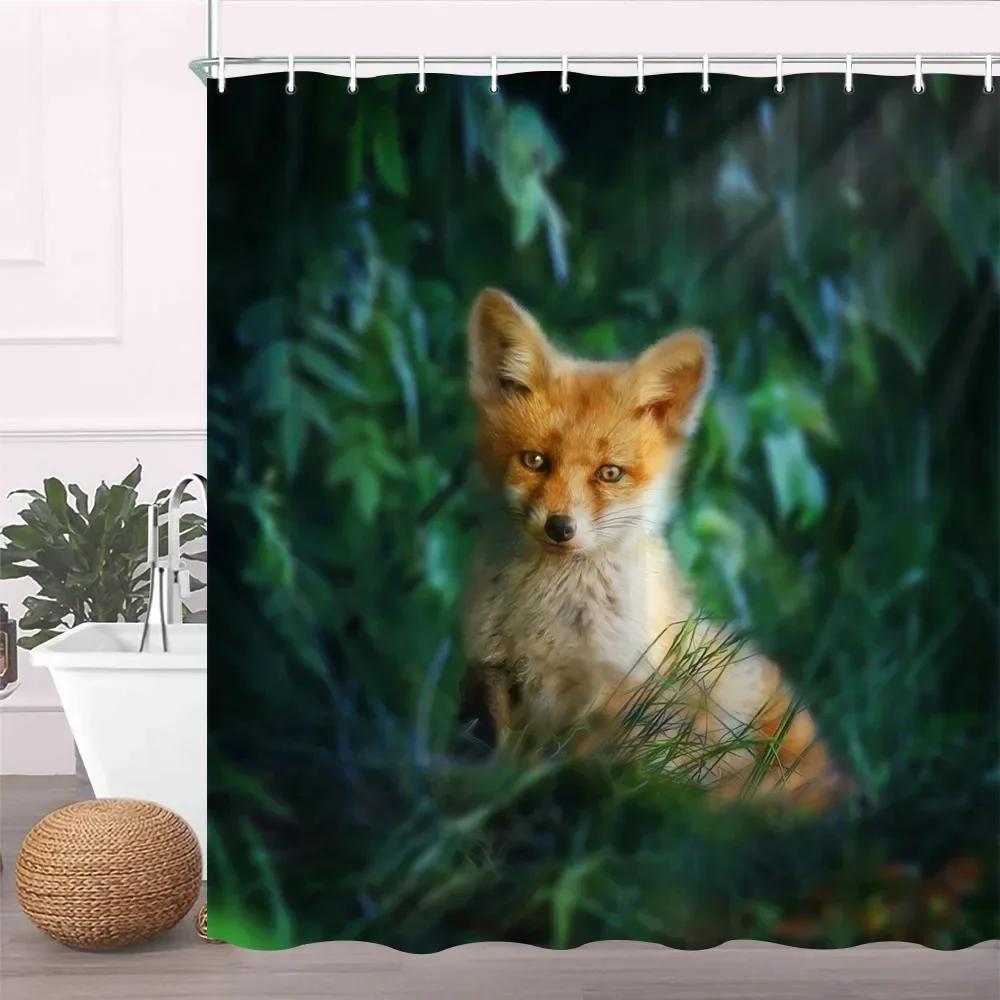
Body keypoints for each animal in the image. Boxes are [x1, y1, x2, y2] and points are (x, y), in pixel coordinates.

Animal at [461, 288, 845, 809]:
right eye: (535, 461)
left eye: (609, 473)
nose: (560, 528)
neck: (551, 619)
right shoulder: (491, 674)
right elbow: (497, 762)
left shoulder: (616, 692)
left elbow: (585, 773)